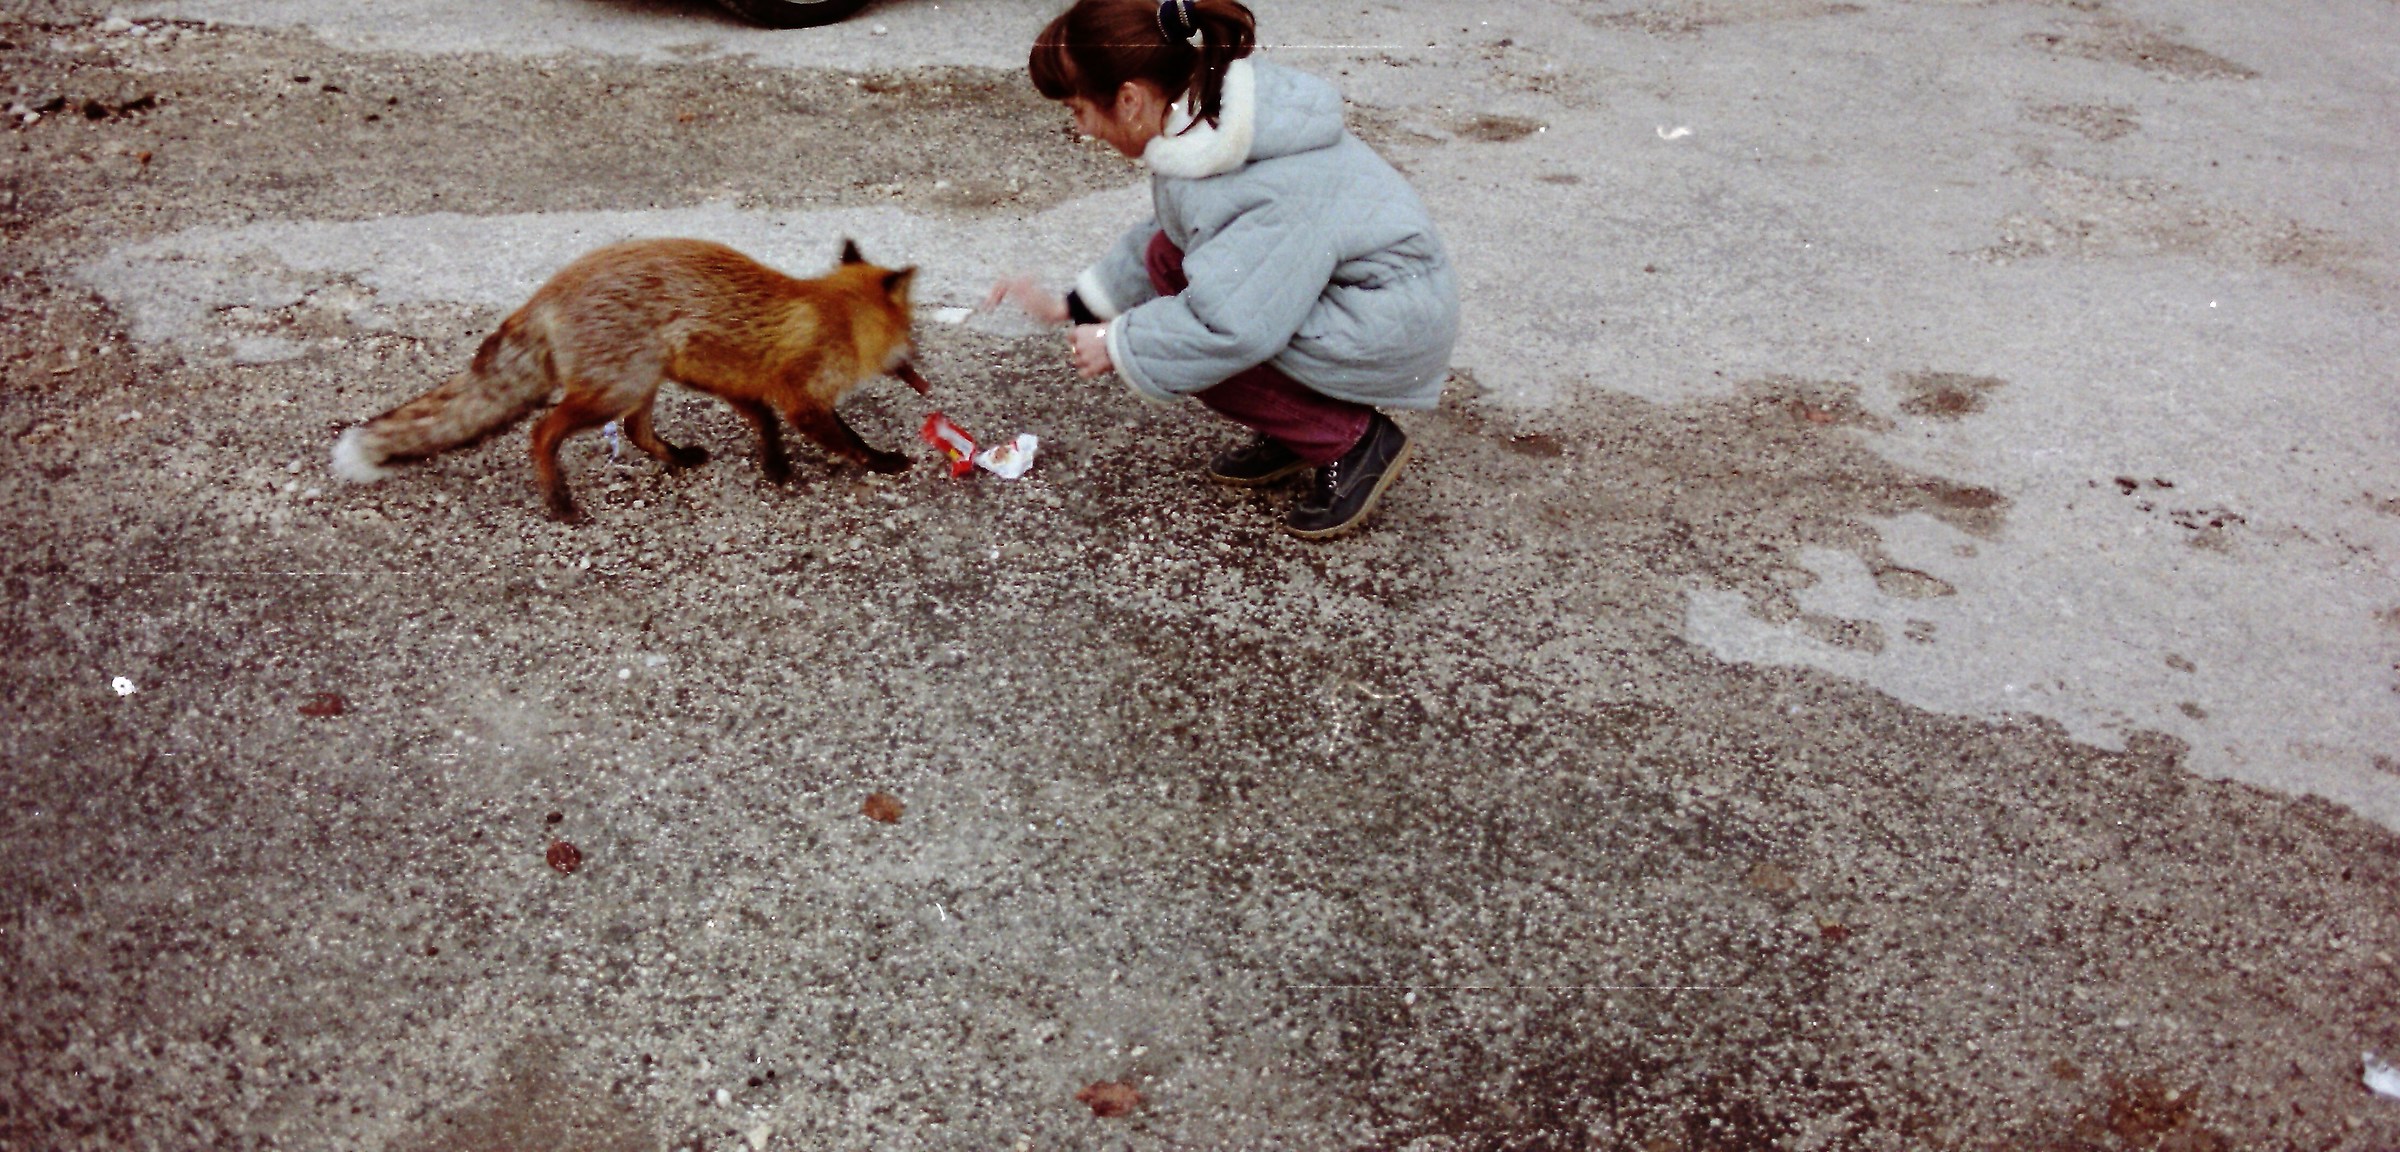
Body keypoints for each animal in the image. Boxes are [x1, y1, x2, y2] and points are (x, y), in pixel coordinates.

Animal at [329, 237, 933, 522]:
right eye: (912, 329)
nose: (920, 359)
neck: (836, 317)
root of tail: (547, 292)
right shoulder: (802, 397)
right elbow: (846, 439)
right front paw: (881, 462)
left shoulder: (727, 377)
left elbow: (763, 421)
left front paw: (775, 466)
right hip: (615, 388)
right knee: (542, 432)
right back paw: (560, 502)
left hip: (644, 381)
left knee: (636, 431)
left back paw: (676, 458)